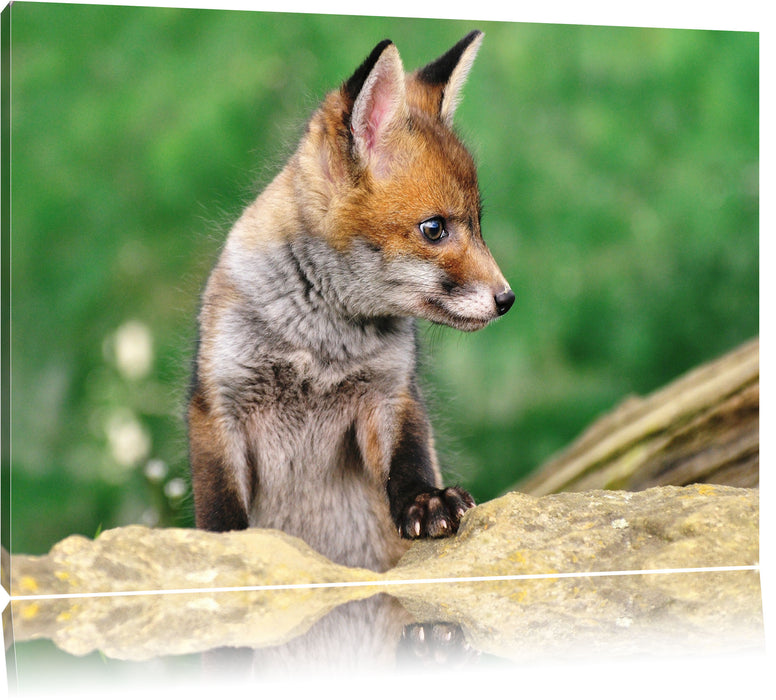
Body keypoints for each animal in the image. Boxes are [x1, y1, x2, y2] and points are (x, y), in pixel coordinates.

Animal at [188, 30, 514, 573]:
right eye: (434, 229)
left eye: (478, 225)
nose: (507, 299)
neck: (318, 345)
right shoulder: (218, 403)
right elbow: (219, 508)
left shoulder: (390, 394)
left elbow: (409, 461)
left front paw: (426, 501)